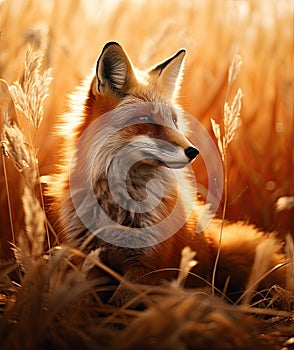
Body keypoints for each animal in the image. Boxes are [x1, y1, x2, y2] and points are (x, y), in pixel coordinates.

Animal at [50, 41, 284, 304]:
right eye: (145, 118)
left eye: (173, 120)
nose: (194, 151)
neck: (118, 208)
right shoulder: (89, 259)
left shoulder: (145, 265)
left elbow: (121, 306)